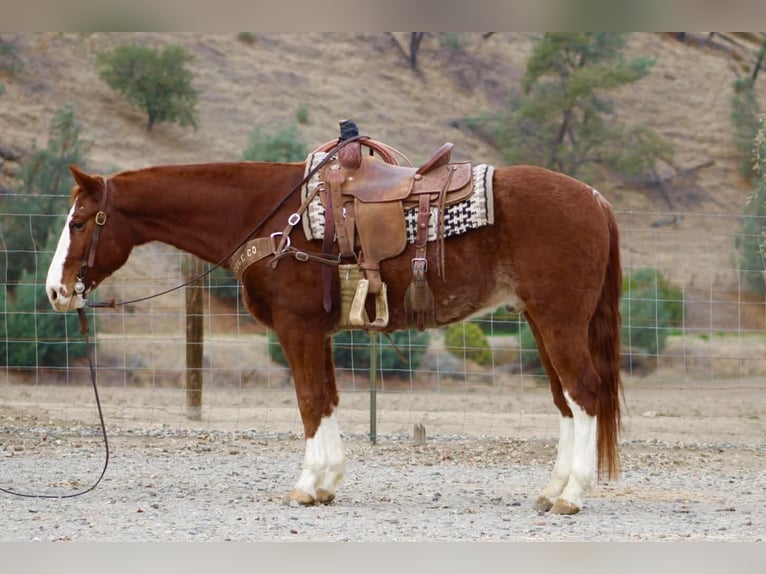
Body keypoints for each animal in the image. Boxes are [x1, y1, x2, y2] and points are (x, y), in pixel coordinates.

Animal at [45, 139, 622, 515]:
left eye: (79, 222)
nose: (56, 290)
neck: (270, 215)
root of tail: (595, 198)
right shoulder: (316, 333)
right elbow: (326, 400)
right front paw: (327, 482)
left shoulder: (296, 329)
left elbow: (309, 401)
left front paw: (306, 484)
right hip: (540, 322)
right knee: (565, 401)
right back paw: (552, 491)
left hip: (559, 320)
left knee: (584, 391)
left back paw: (572, 496)